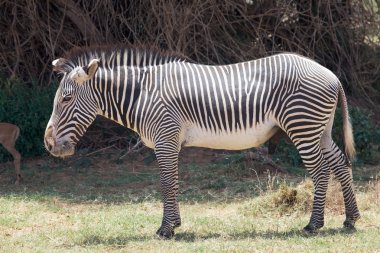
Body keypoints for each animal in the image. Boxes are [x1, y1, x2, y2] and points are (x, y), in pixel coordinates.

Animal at [43, 46, 360, 239]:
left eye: (66, 99)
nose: (48, 144)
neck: (142, 94)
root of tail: (331, 75)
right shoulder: (172, 141)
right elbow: (174, 182)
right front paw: (175, 225)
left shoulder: (165, 138)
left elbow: (166, 183)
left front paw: (166, 229)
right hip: (319, 129)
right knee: (341, 164)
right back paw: (350, 219)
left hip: (302, 126)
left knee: (321, 172)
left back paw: (313, 225)